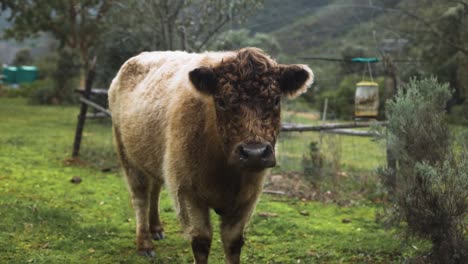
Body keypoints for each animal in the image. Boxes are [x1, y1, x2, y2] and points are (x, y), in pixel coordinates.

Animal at [109, 48, 314, 264]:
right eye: (221, 101)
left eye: (275, 100)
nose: (254, 153)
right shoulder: (187, 192)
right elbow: (201, 241)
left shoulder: (247, 199)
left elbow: (233, 243)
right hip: (127, 154)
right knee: (140, 197)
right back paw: (144, 243)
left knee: (155, 188)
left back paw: (156, 228)